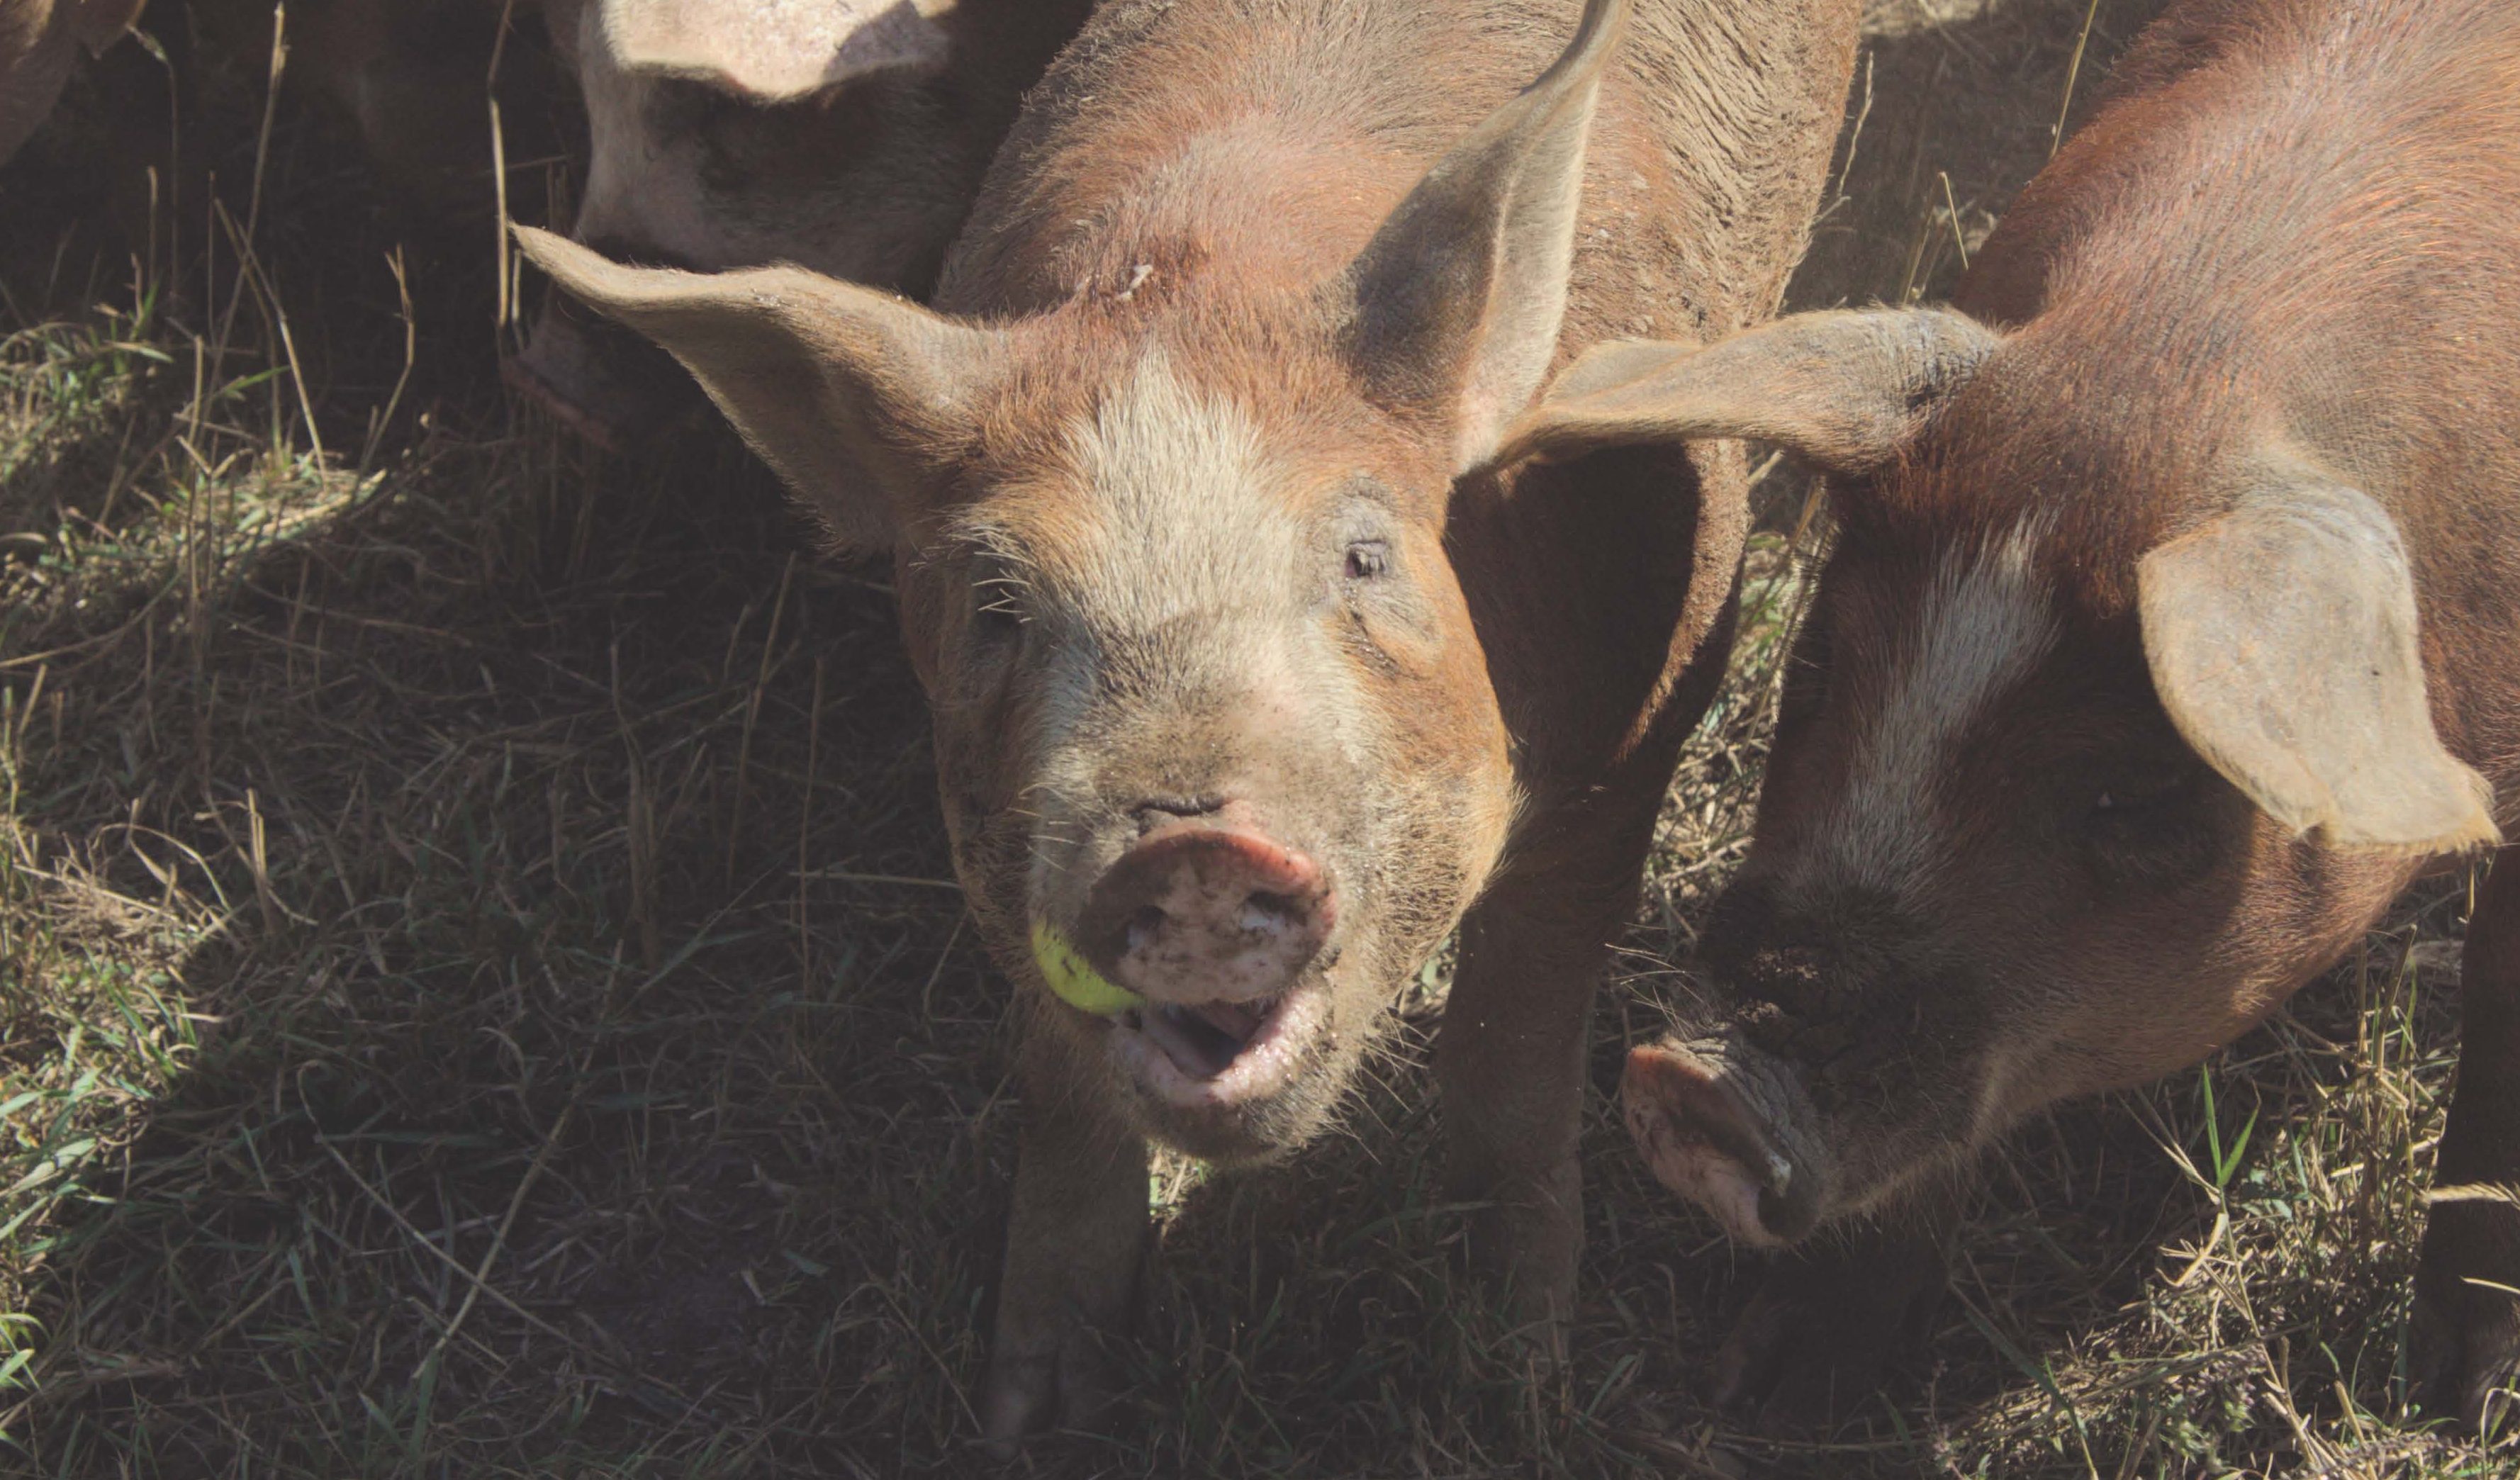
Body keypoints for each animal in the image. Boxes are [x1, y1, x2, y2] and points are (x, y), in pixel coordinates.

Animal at [1491, 0, 2520, 1431]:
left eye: (2135, 792)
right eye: (1820, 666)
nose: (1696, 1085)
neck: (2181, 352)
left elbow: (2503, 1005)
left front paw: (2455, 1395)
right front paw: (1779, 1394)